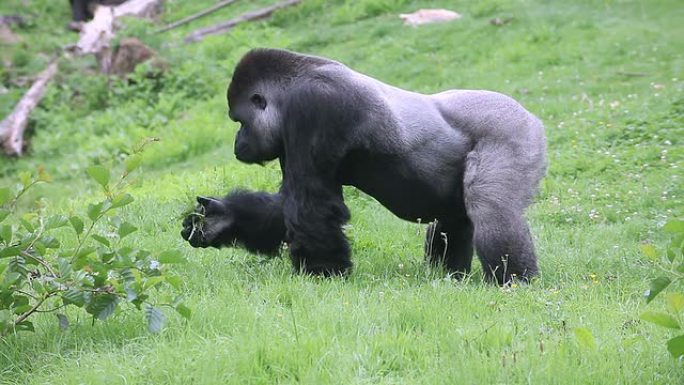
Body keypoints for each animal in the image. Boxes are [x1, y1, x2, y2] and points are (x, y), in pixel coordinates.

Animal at [180, 48, 544, 284]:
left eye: (239, 121)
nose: (237, 142)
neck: (293, 85)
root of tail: (531, 116)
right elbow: (286, 204)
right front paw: (222, 219)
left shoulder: (312, 106)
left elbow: (311, 205)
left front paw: (324, 274)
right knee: (453, 217)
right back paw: (449, 275)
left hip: (513, 132)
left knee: (490, 208)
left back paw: (513, 281)